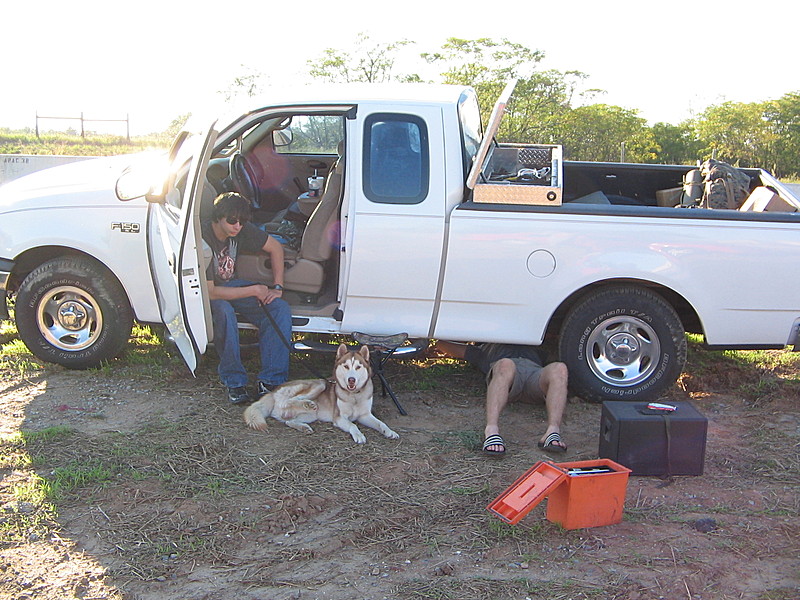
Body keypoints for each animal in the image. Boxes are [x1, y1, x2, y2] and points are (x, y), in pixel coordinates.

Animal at [241, 344, 396, 442]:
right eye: (346, 366)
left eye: (358, 367)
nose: (351, 380)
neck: (354, 396)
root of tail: (272, 392)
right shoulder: (339, 418)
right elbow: (353, 425)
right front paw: (358, 435)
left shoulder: (365, 415)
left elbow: (381, 424)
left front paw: (390, 432)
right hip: (318, 384)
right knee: (289, 400)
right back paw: (307, 403)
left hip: (310, 416)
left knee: (289, 421)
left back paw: (303, 427)